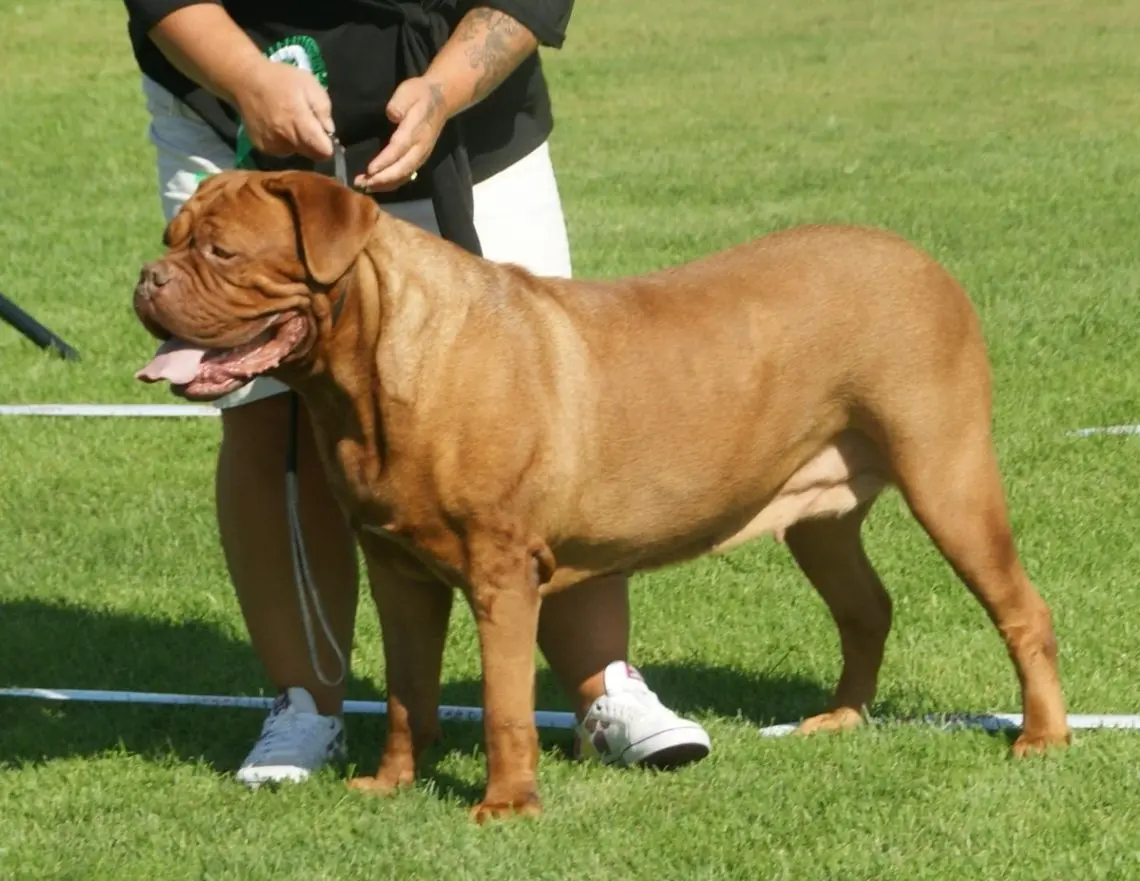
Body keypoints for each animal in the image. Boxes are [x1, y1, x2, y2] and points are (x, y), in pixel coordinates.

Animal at [131, 169, 1067, 816]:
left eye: (220, 252)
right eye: (171, 236)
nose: (145, 276)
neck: (371, 368)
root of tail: (922, 259)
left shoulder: (503, 573)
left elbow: (505, 703)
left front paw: (506, 805)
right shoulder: (397, 571)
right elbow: (404, 693)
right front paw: (390, 781)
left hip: (947, 473)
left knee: (1023, 609)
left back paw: (1043, 735)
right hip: (821, 515)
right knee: (865, 606)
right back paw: (842, 718)